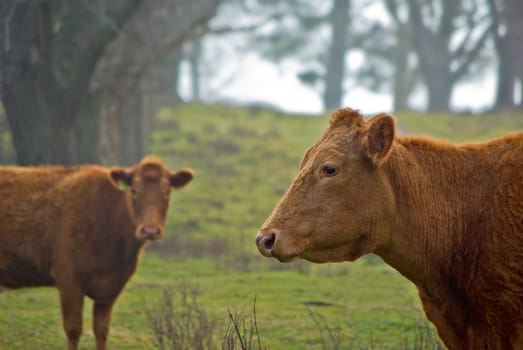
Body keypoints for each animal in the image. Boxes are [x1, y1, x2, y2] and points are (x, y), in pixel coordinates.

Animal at [0, 157, 194, 350]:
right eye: (134, 190)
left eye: (167, 191)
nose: (150, 230)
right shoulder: (68, 279)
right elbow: (73, 329)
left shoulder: (111, 287)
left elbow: (101, 330)